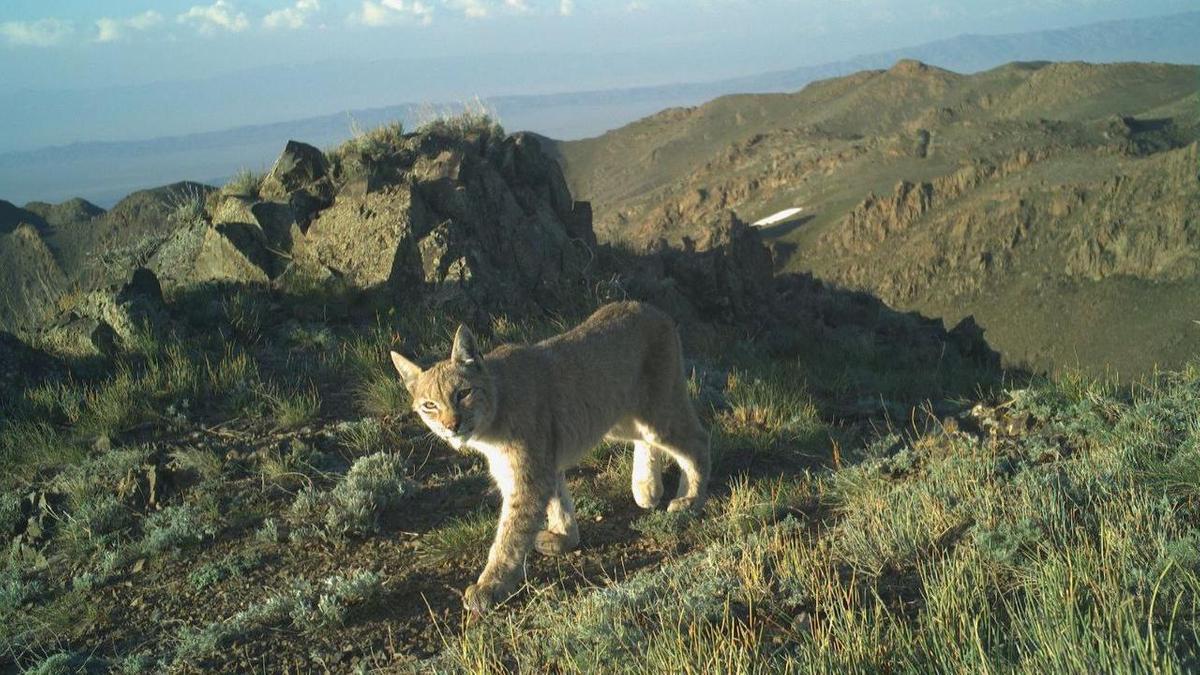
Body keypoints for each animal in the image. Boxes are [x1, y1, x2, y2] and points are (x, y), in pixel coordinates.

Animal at [393, 299, 705, 610]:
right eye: (430, 406)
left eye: (463, 393)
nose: (451, 426)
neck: (491, 413)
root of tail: (646, 305)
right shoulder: (542, 464)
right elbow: (558, 501)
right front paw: (565, 536)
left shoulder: (528, 475)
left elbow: (511, 534)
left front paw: (490, 585)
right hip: (619, 419)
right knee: (647, 440)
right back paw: (646, 487)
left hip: (658, 415)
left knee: (698, 439)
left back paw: (689, 499)